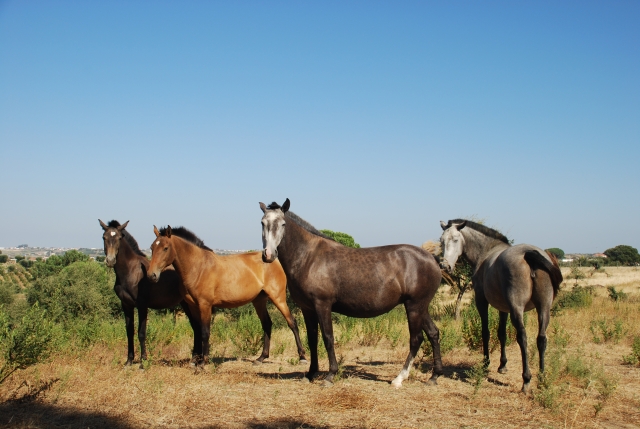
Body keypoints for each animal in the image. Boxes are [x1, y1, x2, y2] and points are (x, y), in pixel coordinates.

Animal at [99, 219, 200, 368]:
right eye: (104, 237)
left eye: (119, 238)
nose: (110, 260)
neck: (131, 271)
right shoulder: (126, 305)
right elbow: (129, 332)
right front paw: (129, 361)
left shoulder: (142, 305)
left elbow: (141, 333)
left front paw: (143, 362)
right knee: (196, 326)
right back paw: (194, 359)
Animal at [146, 225, 307, 368]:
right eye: (152, 248)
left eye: (165, 248)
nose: (151, 275)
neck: (198, 267)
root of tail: (274, 260)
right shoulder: (192, 306)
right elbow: (197, 330)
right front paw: (195, 361)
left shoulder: (205, 305)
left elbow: (205, 332)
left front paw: (203, 363)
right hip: (259, 300)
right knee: (267, 324)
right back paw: (261, 358)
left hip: (278, 298)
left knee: (292, 322)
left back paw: (302, 357)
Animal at [259, 199, 443, 388]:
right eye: (263, 223)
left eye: (282, 223)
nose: (268, 255)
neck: (309, 257)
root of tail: (432, 258)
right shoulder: (307, 308)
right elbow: (312, 339)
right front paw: (311, 373)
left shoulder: (322, 305)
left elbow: (328, 338)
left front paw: (330, 375)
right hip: (421, 307)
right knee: (433, 333)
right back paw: (434, 376)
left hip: (414, 306)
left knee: (416, 339)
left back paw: (399, 378)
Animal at [439, 219, 563, 392]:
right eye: (442, 241)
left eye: (456, 239)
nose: (445, 266)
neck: (487, 250)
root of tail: (529, 254)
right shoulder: (503, 308)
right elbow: (502, 333)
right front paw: (502, 365)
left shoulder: (481, 301)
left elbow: (486, 332)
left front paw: (486, 363)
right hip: (543, 308)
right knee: (542, 339)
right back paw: (542, 377)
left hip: (517, 309)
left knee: (522, 337)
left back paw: (526, 379)